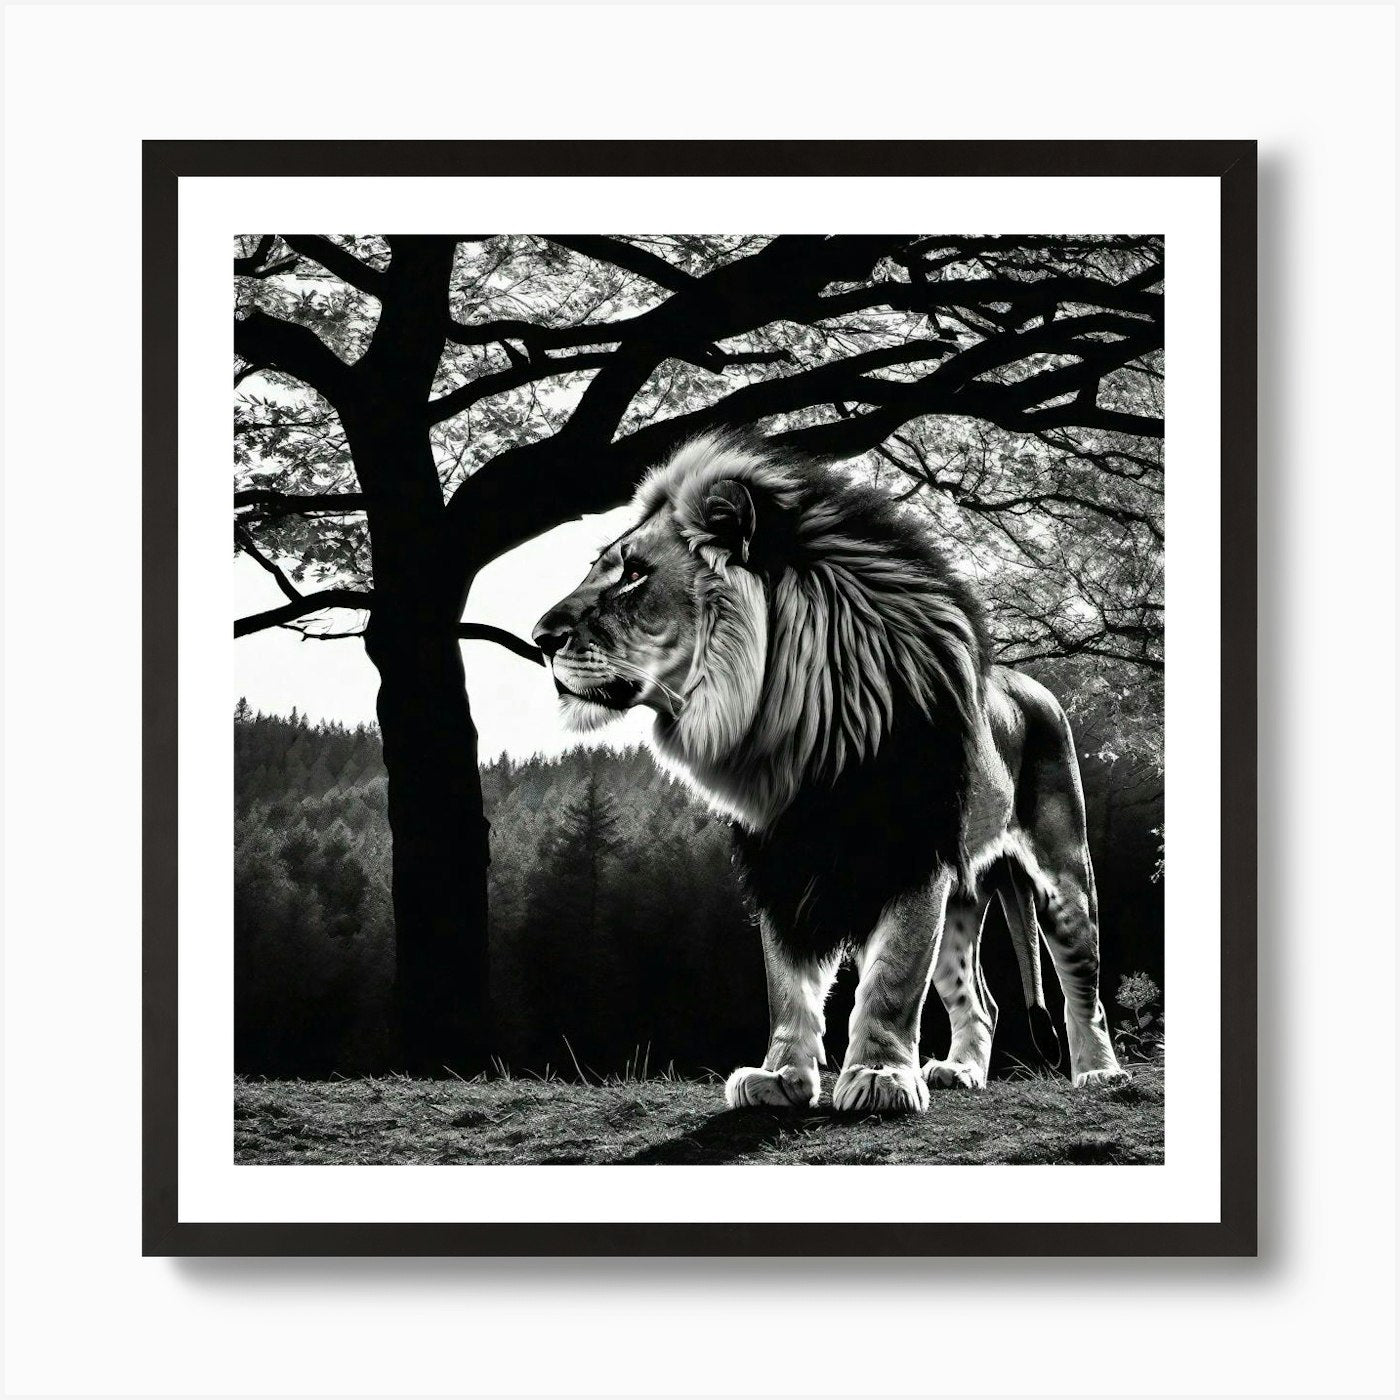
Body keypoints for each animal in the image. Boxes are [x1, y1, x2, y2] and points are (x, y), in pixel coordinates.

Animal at [532, 433, 1125, 1112]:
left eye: (633, 574)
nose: (539, 638)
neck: (797, 727)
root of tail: (1035, 686)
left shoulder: (909, 856)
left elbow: (891, 978)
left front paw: (880, 1077)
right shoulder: (779, 863)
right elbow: (787, 983)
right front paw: (781, 1078)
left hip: (1064, 872)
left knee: (1084, 987)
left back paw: (1100, 1074)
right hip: (962, 896)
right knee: (981, 1000)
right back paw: (961, 1070)